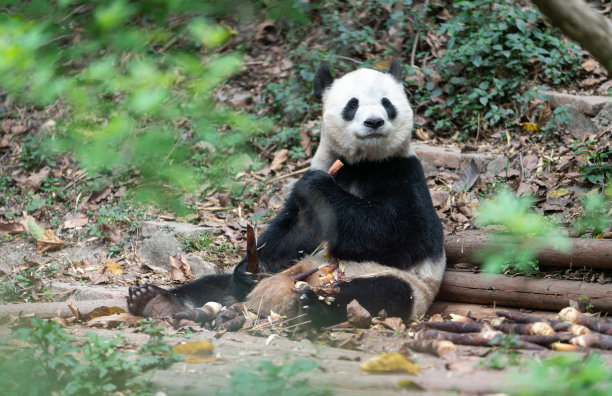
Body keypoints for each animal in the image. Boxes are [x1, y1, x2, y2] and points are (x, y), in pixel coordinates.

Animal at [128, 61, 444, 328]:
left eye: (387, 104)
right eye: (352, 104)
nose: (374, 122)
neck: (362, 163)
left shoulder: (404, 174)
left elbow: (400, 235)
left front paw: (318, 185)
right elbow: (293, 232)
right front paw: (250, 269)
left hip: (402, 286)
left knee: (376, 292)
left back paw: (316, 305)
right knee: (214, 285)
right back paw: (155, 299)